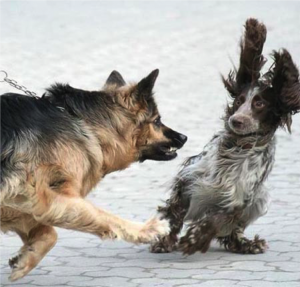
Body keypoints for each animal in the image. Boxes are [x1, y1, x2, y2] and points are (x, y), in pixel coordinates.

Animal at [0, 70, 186, 282]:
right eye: (156, 121)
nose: (184, 138)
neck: (80, 120)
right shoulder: (47, 198)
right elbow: (107, 218)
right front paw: (147, 230)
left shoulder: (25, 203)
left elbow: (48, 233)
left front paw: (25, 258)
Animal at [150, 19, 300, 255]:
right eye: (239, 100)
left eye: (259, 103)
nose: (236, 120)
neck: (238, 147)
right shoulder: (190, 178)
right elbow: (175, 213)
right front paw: (165, 240)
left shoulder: (242, 197)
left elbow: (219, 219)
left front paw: (194, 239)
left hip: (260, 200)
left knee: (232, 231)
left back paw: (246, 244)